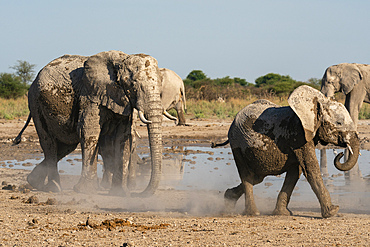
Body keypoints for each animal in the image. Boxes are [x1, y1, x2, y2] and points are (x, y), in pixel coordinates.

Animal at [11, 50, 173, 197]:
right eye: (133, 84)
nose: (138, 194)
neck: (122, 59)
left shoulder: (121, 100)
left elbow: (123, 137)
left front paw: (120, 193)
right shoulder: (90, 95)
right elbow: (89, 132)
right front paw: (86, 191)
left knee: (65, 146)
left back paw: (34, 182)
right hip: (35, 103)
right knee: (49, 143)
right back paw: (54, 188)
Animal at [212, 85, 360, 218]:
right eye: (339, 123)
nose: (340, 154)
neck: (317, 101)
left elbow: (295, 172)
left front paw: (282, 213)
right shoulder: (298, 133)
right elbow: (310, 168)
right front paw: (332, 212)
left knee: (257, 178)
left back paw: (228, 199)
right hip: (237, 144)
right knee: (247, 176)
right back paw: (252, 213)